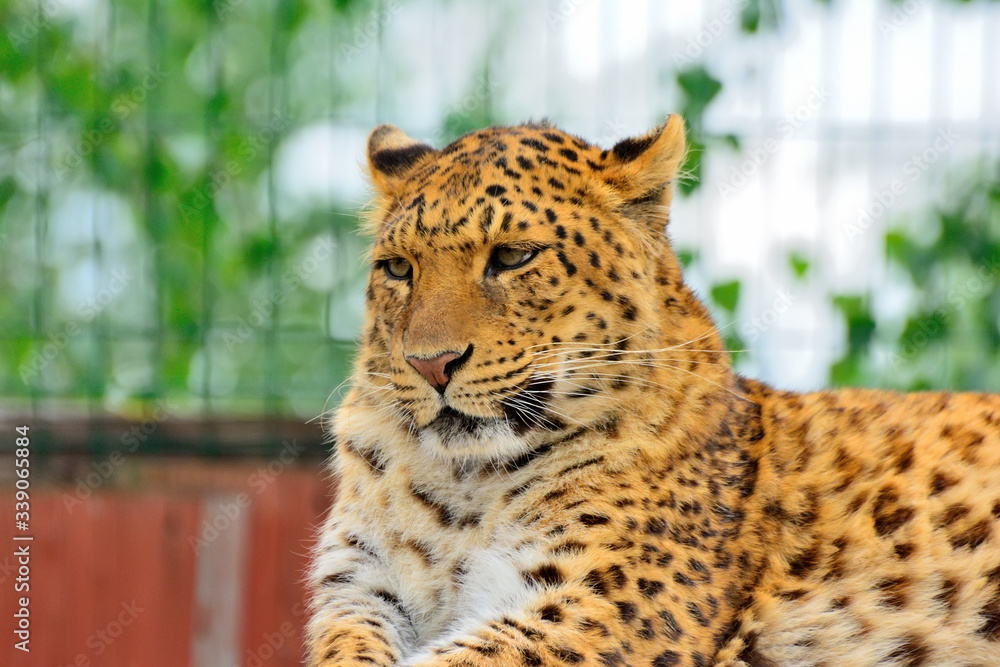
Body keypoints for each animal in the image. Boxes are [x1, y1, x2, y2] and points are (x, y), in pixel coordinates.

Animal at [306, 115, 1000, 667]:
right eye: (398, 269)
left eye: (511, 257)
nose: (431, 364)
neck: (465, 486)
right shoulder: (359, 588)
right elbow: (343, 647)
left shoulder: (595, 606)